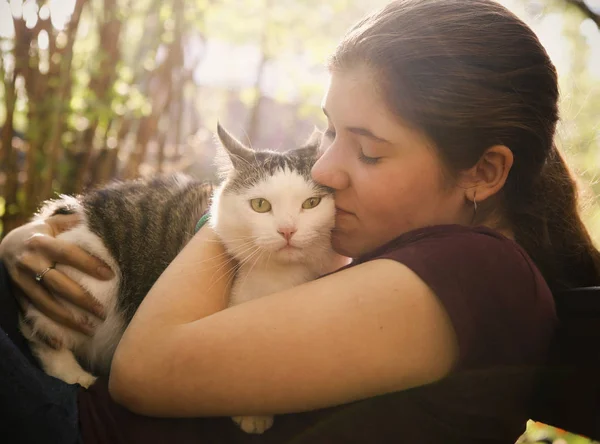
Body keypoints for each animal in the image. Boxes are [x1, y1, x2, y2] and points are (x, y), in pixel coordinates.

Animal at [19, 122, 342, 434]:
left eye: (311, 203)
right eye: (260, 205)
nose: (287, 230)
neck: (279, 278)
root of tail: (77, 206)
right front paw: (250, 413)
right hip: (94, 281)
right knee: (39, 332)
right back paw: (75, 375)